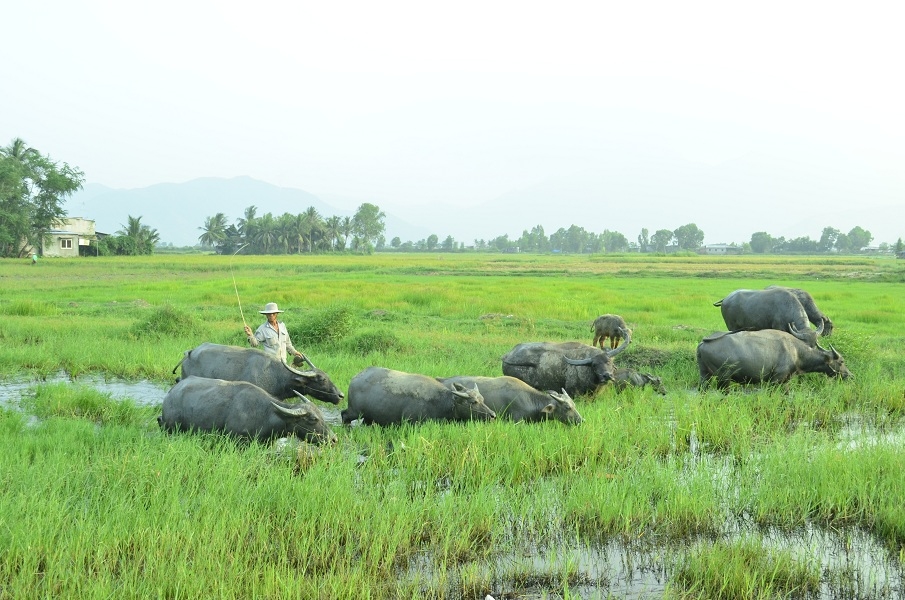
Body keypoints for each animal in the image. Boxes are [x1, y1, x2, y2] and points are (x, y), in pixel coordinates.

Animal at [342, 367, 497, 426]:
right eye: (473, 402)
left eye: (482, 399)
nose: (493, 415)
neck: (440, 402)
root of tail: (356, 377)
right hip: (355, 411)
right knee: (344, 414)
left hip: (368, 417)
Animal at [696, 330, 850, 390]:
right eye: (841, 362)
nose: (850, 375)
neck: (796, 351)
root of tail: (703, 343)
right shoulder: (775, 381)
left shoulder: (785, 382)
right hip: (724, 379)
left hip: (705, 376)